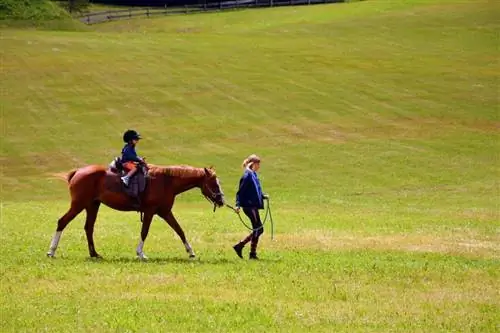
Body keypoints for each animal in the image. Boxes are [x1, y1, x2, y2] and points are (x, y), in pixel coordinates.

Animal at [47, 163, 225, 260]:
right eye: (213, 183)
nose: (221, 201)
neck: (166, 181)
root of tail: (77, 172)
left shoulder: (165, 212)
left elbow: (180, 231)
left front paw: (191, 252)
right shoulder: (150, 212)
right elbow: (144, 232)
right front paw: (140, 253)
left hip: (92, 206)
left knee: (88, 228)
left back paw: (94, 254)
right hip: (79, 205)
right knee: (62, 222)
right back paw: (51, 251)